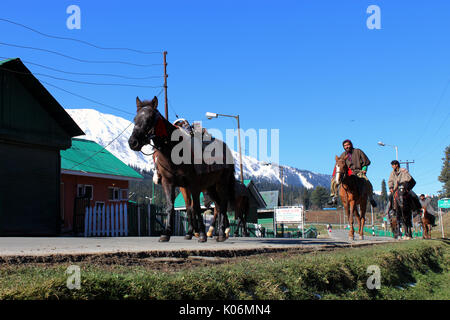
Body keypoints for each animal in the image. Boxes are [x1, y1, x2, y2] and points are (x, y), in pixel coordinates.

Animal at [127, 96, 236, 241]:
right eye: (135, 119)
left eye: (149, 119)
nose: (132, 142)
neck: (173, 151)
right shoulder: (171, 183)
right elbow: (175, 206)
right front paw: (168, 233)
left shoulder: (194, 184)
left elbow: (196, 207)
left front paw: (201, 234)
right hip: (210, 186)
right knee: (218, 206)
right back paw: (218, 232)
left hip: (222, 183)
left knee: (222, 205)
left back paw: (221, 233)